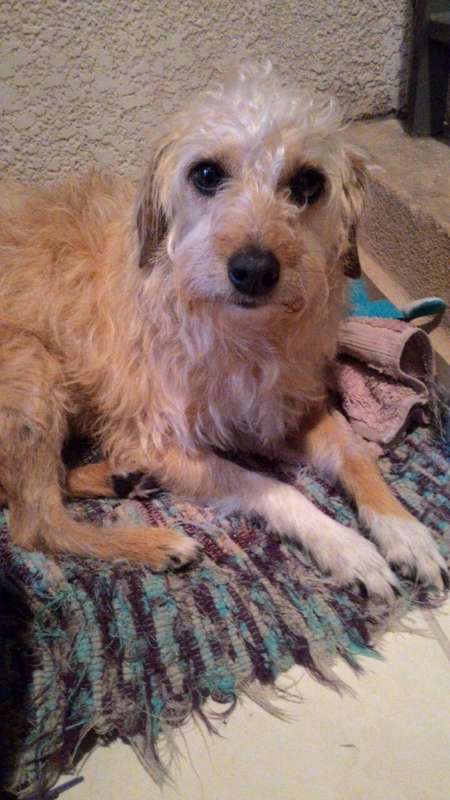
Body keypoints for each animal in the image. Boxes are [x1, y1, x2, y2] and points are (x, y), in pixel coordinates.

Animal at [0, 63, 447, 600]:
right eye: (207, 174)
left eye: (307, 182)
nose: (254, 270)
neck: (241, 333)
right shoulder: (156, 438)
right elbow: (271, 486)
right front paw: (345, 546)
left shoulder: (287, 407)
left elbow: (357, 454)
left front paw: (405, 530)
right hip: (32, 368)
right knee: (35, 525)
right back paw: (154, 543)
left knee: (59, 484)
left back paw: (121, 480)